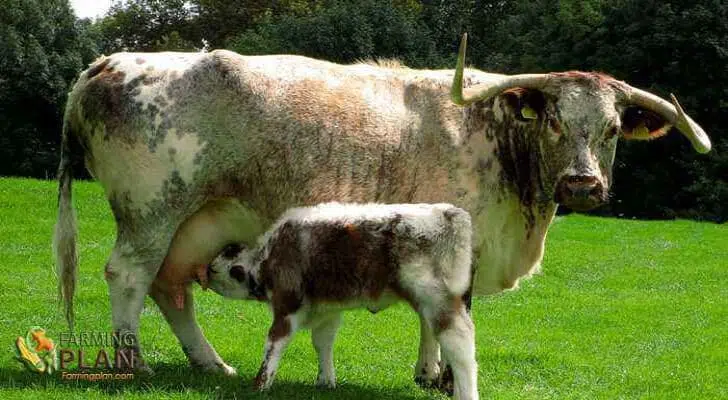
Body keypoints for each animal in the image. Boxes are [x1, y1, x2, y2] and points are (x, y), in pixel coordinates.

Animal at [205, 203, 478, 400]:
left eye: (219, 266)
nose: (206, 269)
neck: (265, 257)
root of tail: (449, 212)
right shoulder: (326, 310)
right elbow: (322, 342)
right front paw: (325, 381)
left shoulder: (288, 304)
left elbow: (274, 343)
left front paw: (261, 384)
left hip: (439, 302)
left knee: (461, 347)